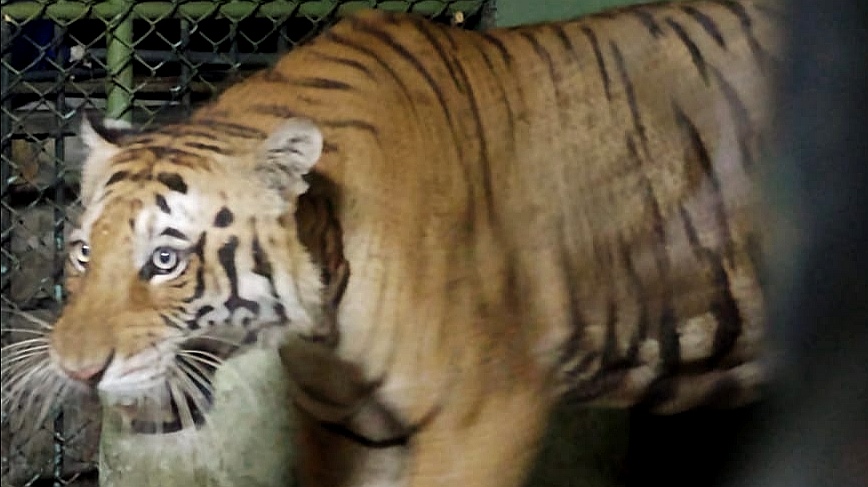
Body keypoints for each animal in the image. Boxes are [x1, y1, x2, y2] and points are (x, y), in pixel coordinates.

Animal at [1, 0, 781, 486]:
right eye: (82, 253)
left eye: (164, 259)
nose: (75, 370)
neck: (325, 321)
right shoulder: (351, 431)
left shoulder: (484, 414)